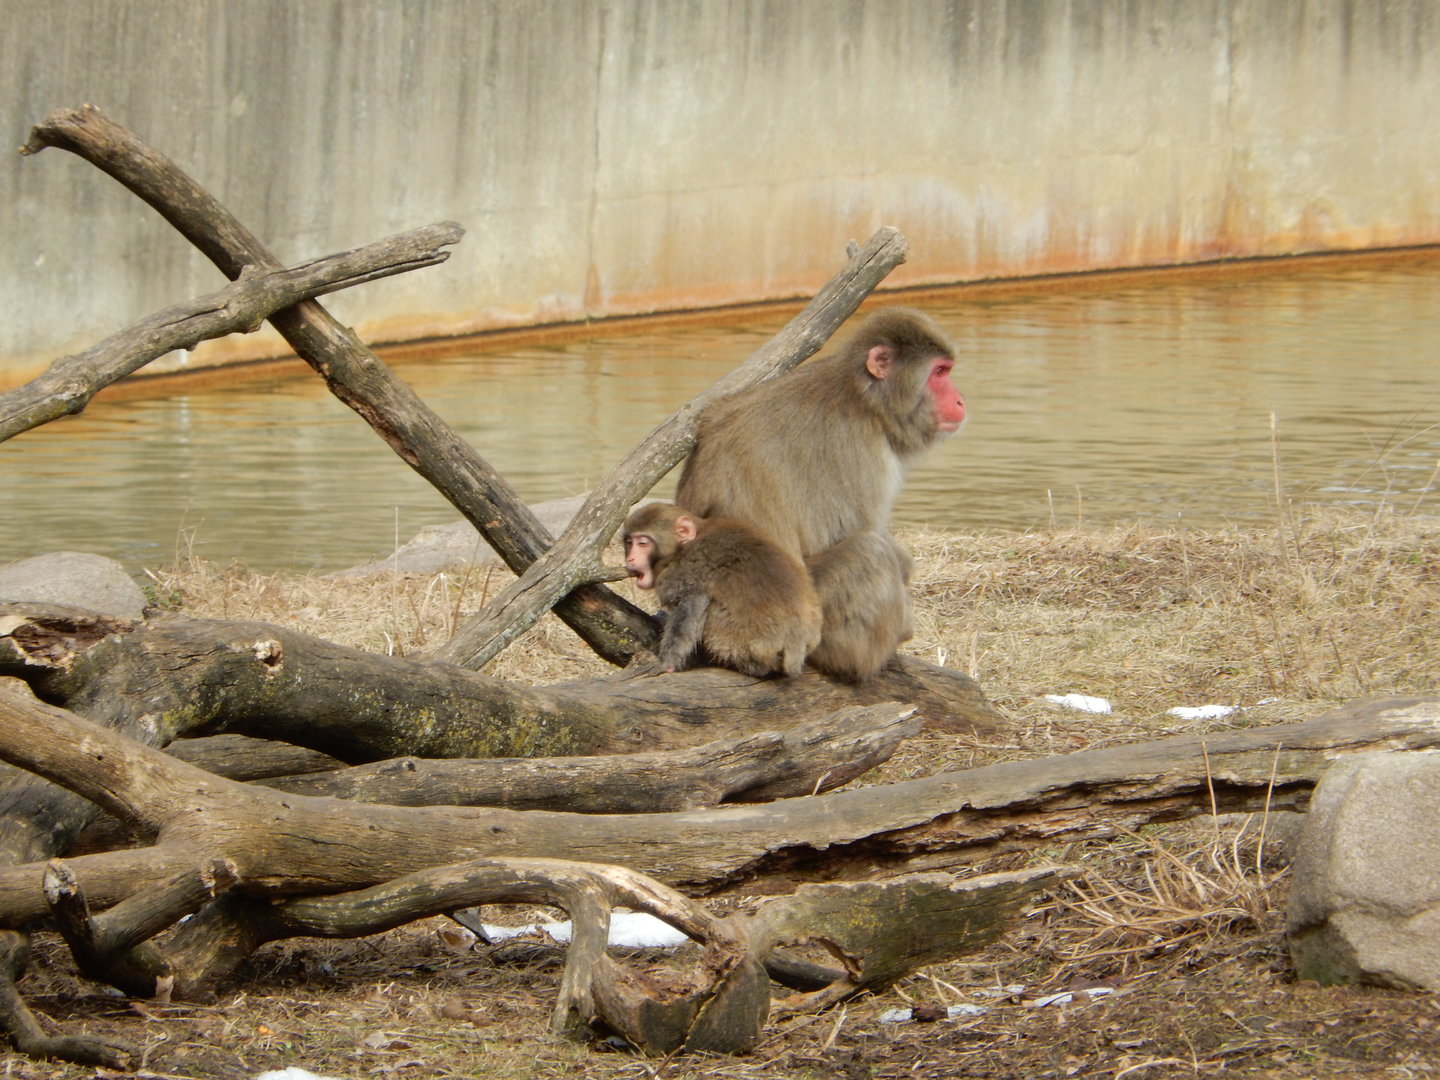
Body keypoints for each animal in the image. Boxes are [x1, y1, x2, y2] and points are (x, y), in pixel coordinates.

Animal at [622, 501, 822, 678]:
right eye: (630, 543)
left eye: (643, 543)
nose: (630, 558)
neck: (683, 547)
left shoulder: (681, 573)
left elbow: (691, 607)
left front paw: (667, 664)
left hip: (735, 644)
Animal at [675, 307, 966, 682]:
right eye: (940, 373)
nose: (960, 400)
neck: (862, 395)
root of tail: (721, 643)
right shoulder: (859, 447)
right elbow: (860, 533)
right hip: (807, 632)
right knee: (869, 553)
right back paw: (867, 662)